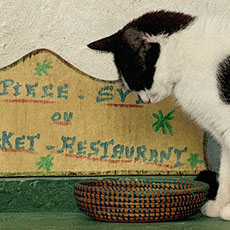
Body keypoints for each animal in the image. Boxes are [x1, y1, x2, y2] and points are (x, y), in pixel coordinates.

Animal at [87, 10, 230, 221]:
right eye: (132, 87)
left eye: (141, 81)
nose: (145, 100)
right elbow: (227, 173)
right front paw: (219, 206)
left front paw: (227, 210)